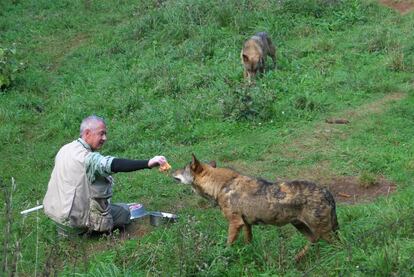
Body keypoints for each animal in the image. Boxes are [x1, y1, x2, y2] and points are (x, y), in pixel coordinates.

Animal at [173, 154, 338, 260]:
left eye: (183, 168)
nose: (172, 171)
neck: (222, 186)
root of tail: (327, 192)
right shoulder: (246, 224)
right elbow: (248, 243)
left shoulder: (235, 223)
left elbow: (227, 245)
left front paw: (222, 257)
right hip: (302, 227)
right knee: (313, 241)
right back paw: (296, 258)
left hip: (324, 233)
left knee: (338, 247)